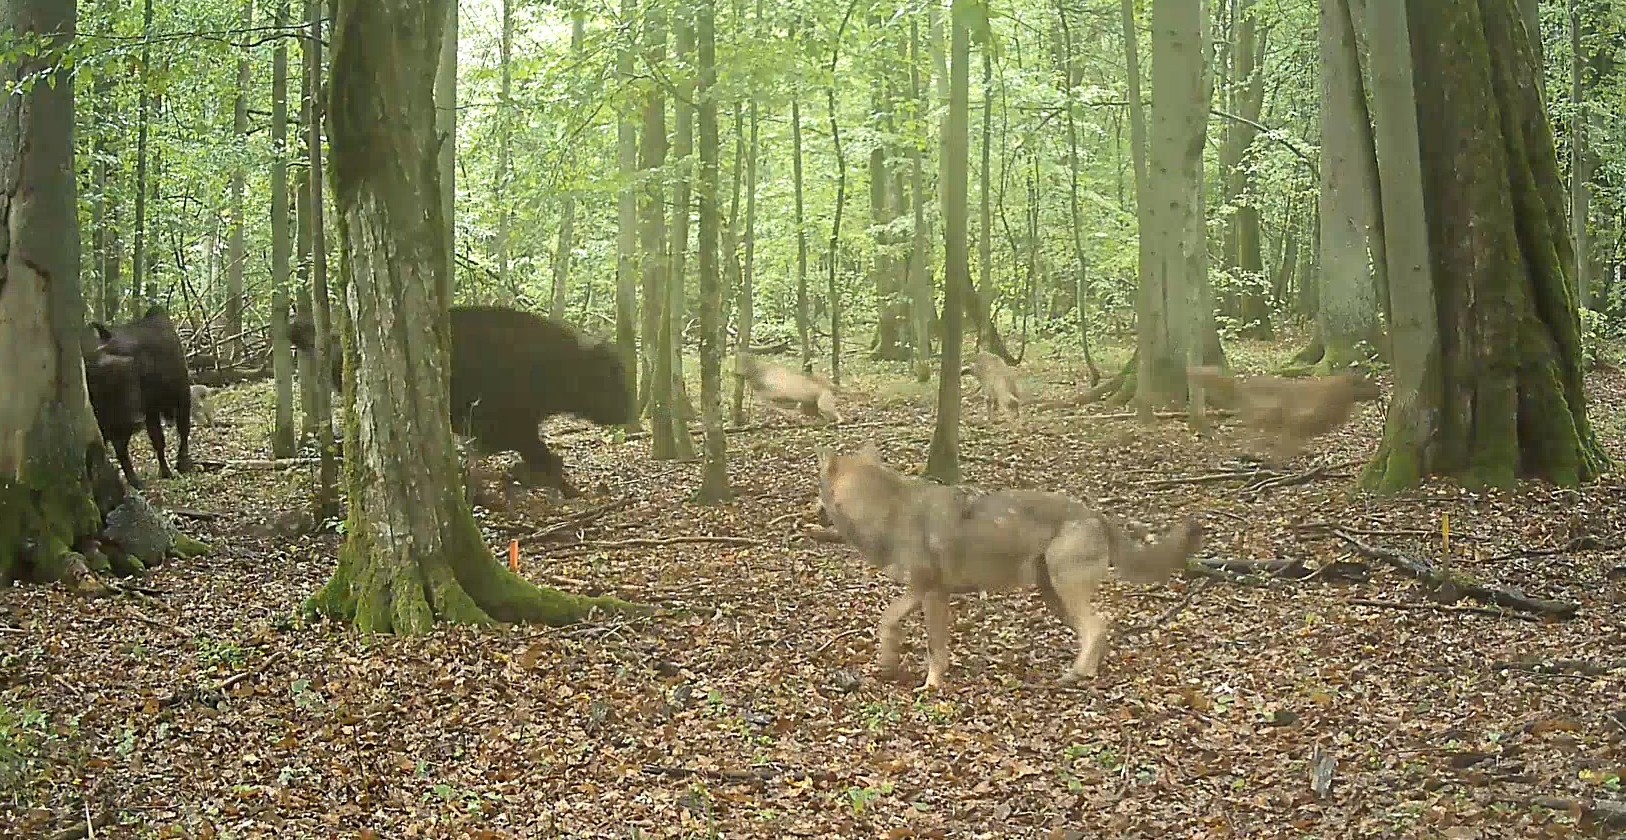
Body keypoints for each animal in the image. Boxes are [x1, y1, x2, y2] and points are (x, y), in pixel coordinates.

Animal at [816, 444, 1203, 689]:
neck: (888, 512)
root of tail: (1097, 513)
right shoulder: (920, 591)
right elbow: (887, 620)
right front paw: (886, 662)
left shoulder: (933, 593)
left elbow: (934, 648)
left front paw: (931, 685)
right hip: (1053, 596)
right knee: (1098, 629)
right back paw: (1085, 674)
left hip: (1064, 590)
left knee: (1098, 625)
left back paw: (1074, 675)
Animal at [1187, 366, 1380, 460]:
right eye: (1366, 384)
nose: (1380, 391)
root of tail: (1239, 385)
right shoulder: (1296, 417)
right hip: (1263, 413)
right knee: (1244, 430)